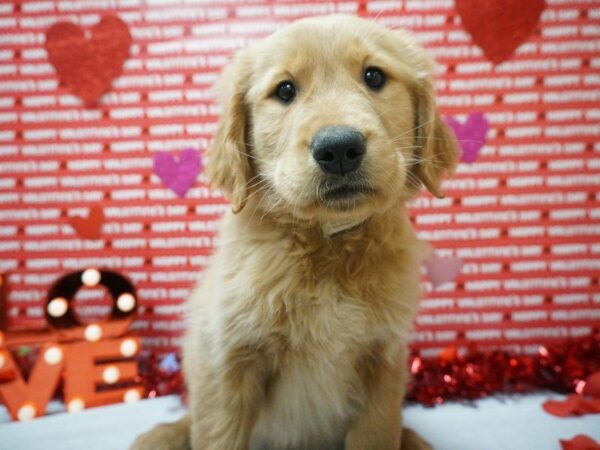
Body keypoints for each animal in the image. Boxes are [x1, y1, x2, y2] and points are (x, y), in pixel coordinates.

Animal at [134, 14, 458, 450]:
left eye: (374, 76)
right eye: (285, 90)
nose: (338, 148)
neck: (327, 243)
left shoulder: (383, 359)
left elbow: (378, 432)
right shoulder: (226, 359)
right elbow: (218, 433)